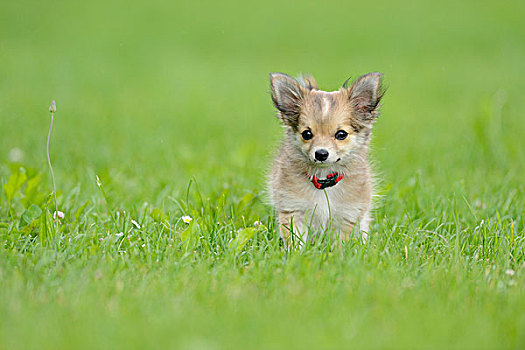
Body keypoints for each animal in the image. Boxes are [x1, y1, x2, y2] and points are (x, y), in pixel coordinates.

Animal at [268, 71, 382, 246]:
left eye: (341, 134)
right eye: (307, 134)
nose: (321, 154)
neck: (323, 181)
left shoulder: (347, 214)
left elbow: (340, 245)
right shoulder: (293, 208)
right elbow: (295, 239)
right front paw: (295, 252)